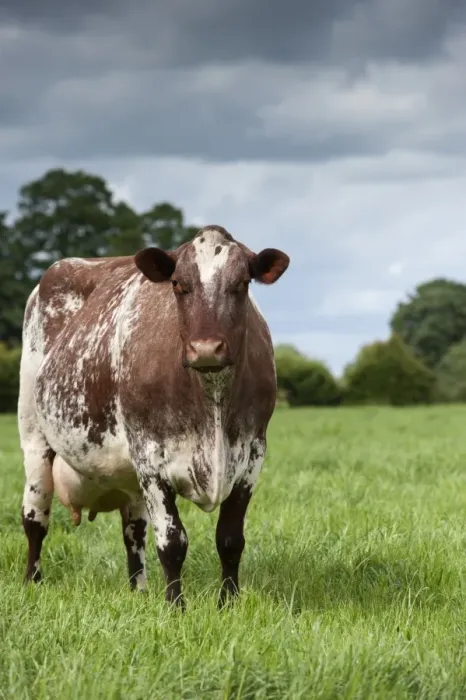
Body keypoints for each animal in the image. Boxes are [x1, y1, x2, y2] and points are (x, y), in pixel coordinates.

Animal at [18, 225, 290, 608]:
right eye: (178, 283)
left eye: (242, 282)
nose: (206, 349)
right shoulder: (150, 456)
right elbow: (172, 542)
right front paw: (176, 606)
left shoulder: (252, 455)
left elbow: (230, 539)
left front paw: (228, 603)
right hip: (33, 435)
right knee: (35, 518)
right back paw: (33, 581)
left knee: (134, 530)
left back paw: (139, 589)